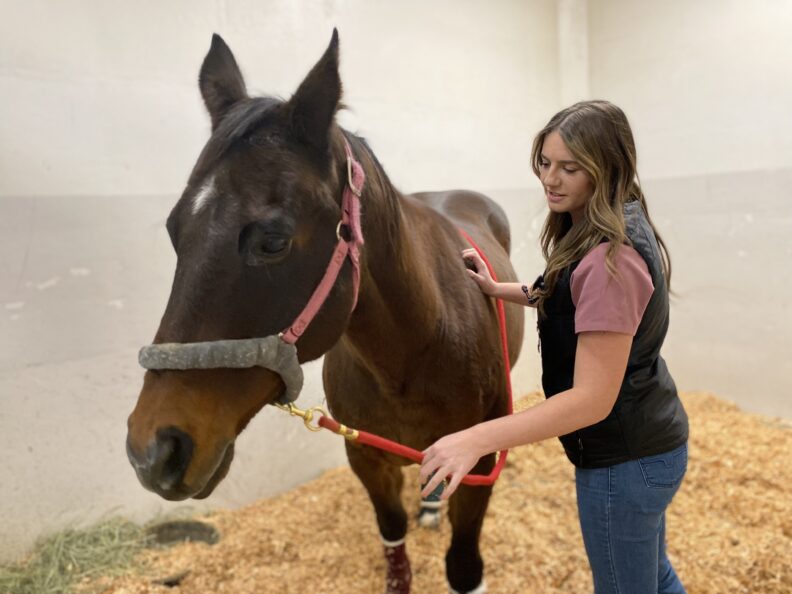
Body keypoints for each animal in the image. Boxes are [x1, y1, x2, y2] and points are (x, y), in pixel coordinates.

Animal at [126, 30, 524, 594]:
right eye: (173, 229)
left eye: (273, 240)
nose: (153, 450)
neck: (415, 352)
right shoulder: (366, 457)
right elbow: (392, 536)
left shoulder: (479, 462)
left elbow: (463, 565)